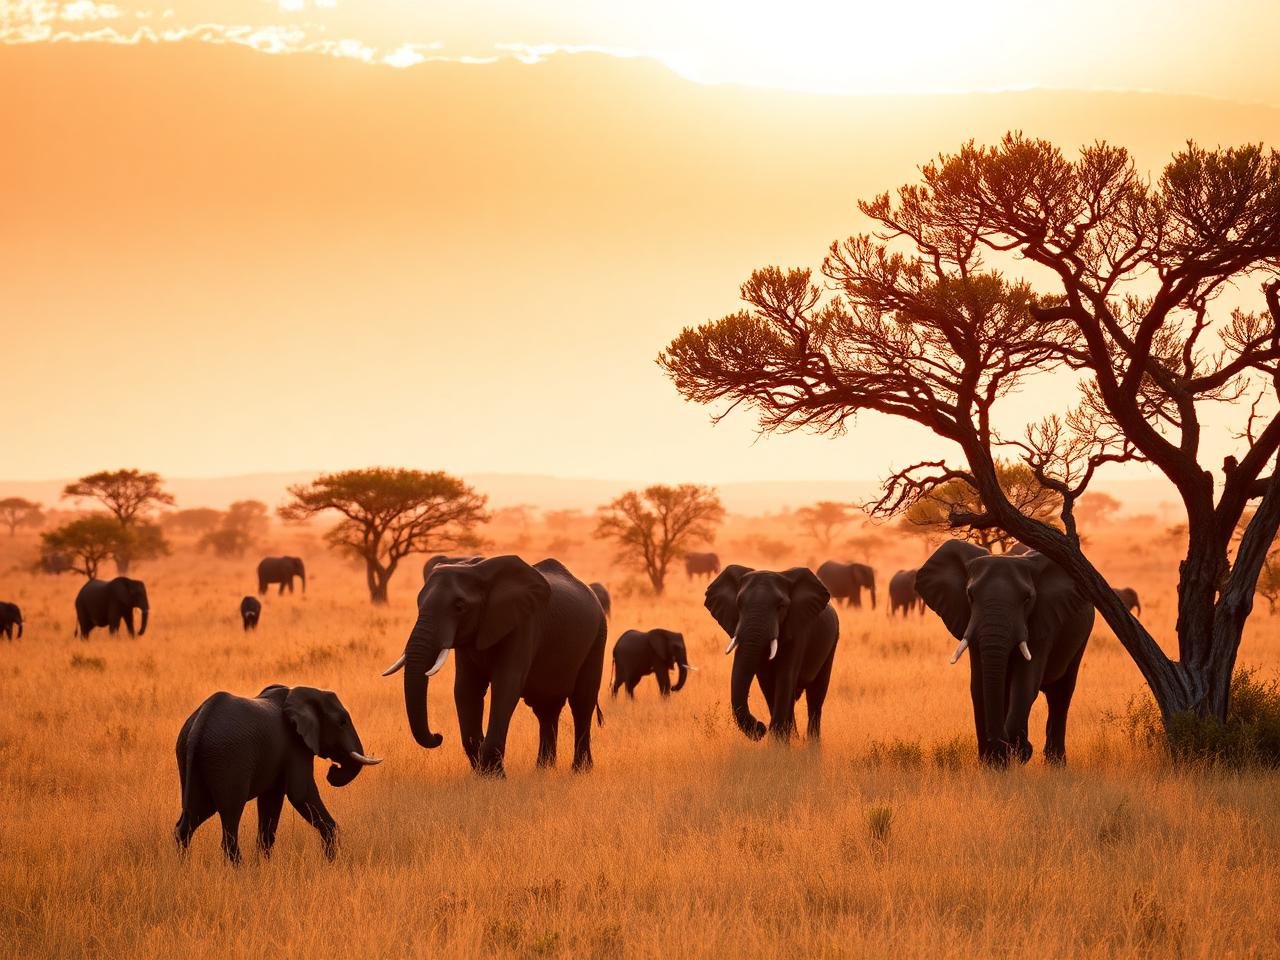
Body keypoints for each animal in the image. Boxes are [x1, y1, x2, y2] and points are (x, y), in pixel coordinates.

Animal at [174, 684, 381, 863]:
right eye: (342, 722)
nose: (333, 771)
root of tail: (198, 725)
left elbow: (271, 802)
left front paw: (263, 866)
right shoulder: (295, 745)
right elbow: (300, 794)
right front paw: (332, 860)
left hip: (195, 759)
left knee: (193, 815)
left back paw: (184, 868)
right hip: (226, 759)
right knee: (230, 816)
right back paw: (240, 872)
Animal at [384, 555, 607, 777]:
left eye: (459, 606)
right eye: (418, 603)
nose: (438, 736)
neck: (480, 572)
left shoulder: (524, 623)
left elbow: (506, 685)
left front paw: (494, 776)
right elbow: (466, 689)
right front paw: (482, 774)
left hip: (598, 636)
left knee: (582, 704)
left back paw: (580, 771)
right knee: (546, 709)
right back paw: (543, 770)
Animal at [705, 565, 840, 742]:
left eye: (781, 606)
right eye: (738, 604)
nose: (760, 727)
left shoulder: (798, 630)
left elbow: (785, 677)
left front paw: (778, 742)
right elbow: (768, 684)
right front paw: (780, 741)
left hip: (832, 643)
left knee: (816, 695)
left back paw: (812, 744)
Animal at [915, 539, 1095, 766]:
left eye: (1027, 599)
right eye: (970, 596)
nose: (1000, 743)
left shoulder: (1042, 620)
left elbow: (1025, 682)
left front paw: (1016, 752)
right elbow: (979, 686)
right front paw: (993, 763)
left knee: (1061, 693)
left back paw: (1055, 764)